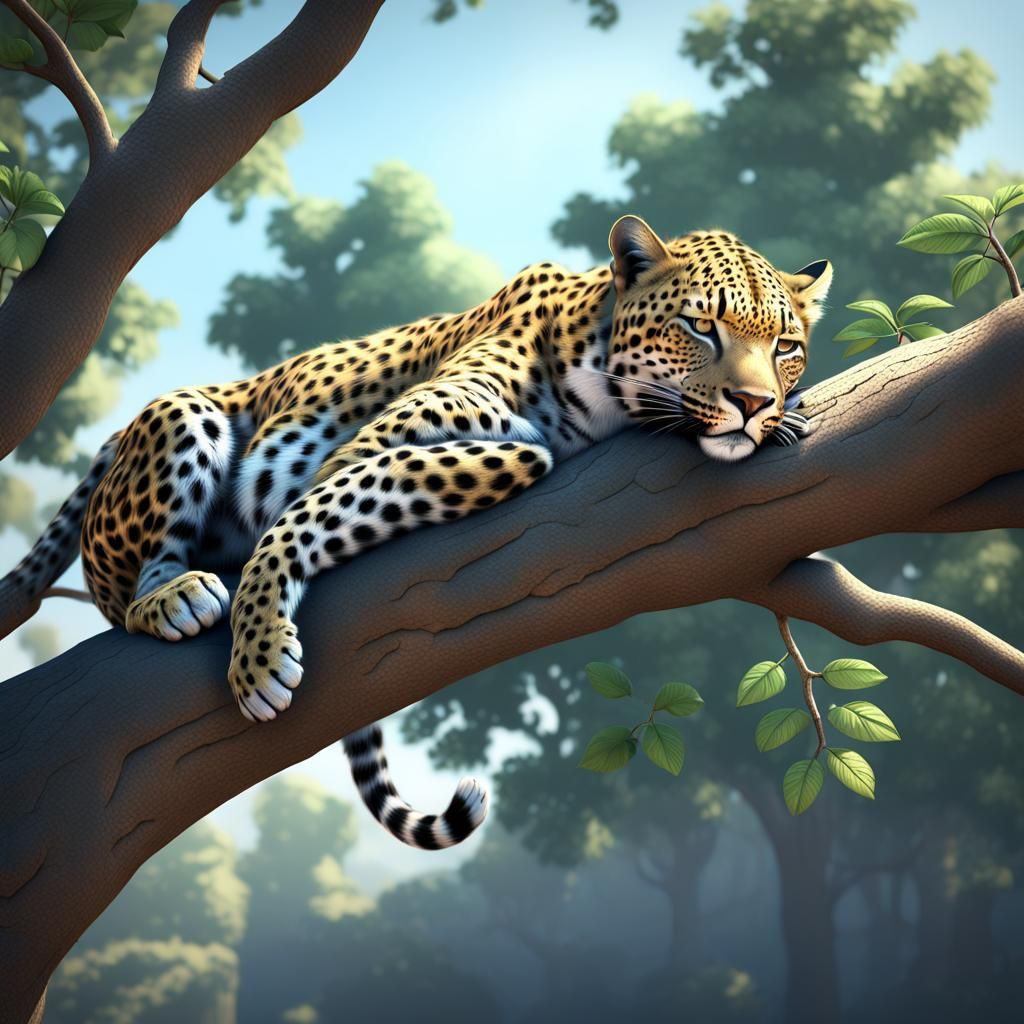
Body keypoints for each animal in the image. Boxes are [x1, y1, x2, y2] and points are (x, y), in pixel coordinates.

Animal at [3, 216, 831, 849]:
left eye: (786, 347)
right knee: (125, 595)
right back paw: (176, 596)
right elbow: (309, 514)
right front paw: (260, 657)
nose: (755, 403)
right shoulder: (368, 448)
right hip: (182, 416)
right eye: (701, 326)